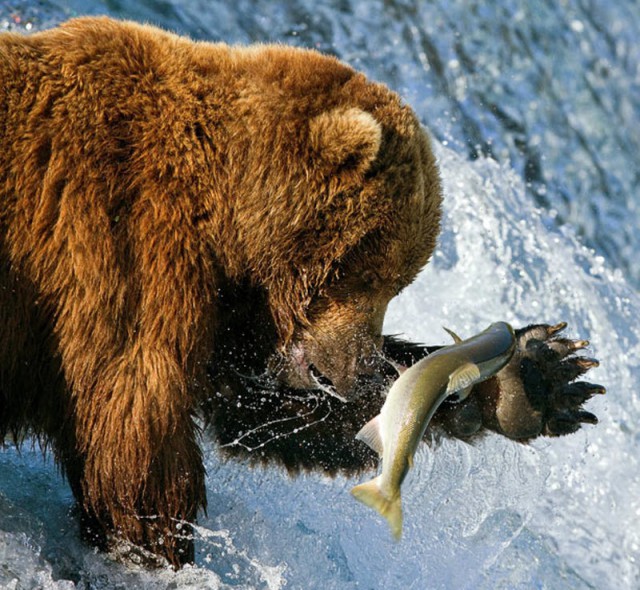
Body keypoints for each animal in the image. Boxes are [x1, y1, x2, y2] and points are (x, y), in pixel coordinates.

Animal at [0, 17, 603, 568]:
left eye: (400, 281)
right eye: (370, 272)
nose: (366, 367)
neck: (228, 213)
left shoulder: (232, 308)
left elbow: (257, 409)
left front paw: (535, 375)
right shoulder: (126, 244)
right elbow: (133, 432)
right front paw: (160, 549)